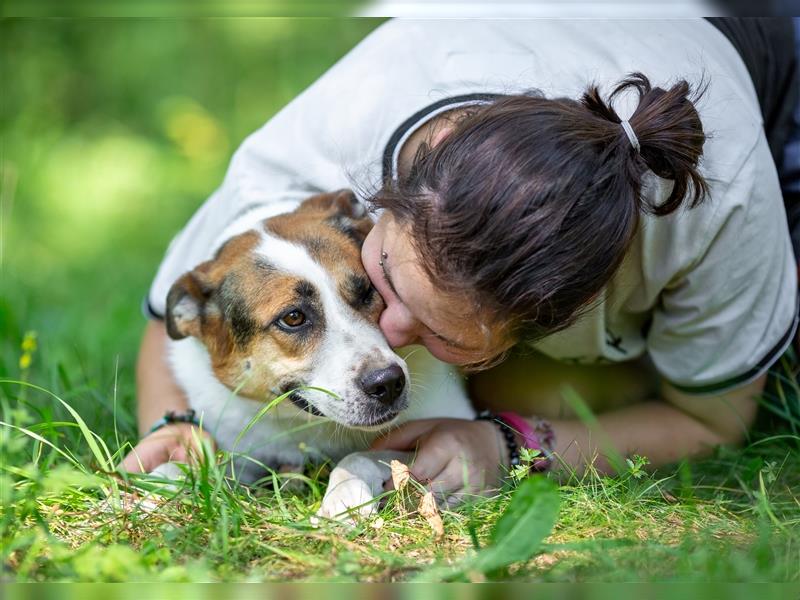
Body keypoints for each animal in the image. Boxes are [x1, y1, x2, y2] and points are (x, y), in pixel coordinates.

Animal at [156, 192, 476, 520]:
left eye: (368, 290)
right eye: (293, 317)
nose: (388, 383)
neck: (308, 423)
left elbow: (359, 457)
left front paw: (345, 498)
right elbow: (193, 465)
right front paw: (159, 487)